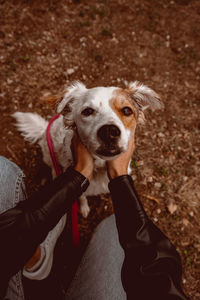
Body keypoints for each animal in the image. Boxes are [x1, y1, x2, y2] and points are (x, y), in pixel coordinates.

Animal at [12, 81, 162, 218]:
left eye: (127, 110)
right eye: (88, 111)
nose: (109, 131)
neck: (99, 167)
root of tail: (44, 129)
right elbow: (82, 198)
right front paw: (84, 209)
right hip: (49, 155)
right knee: (54, 168)